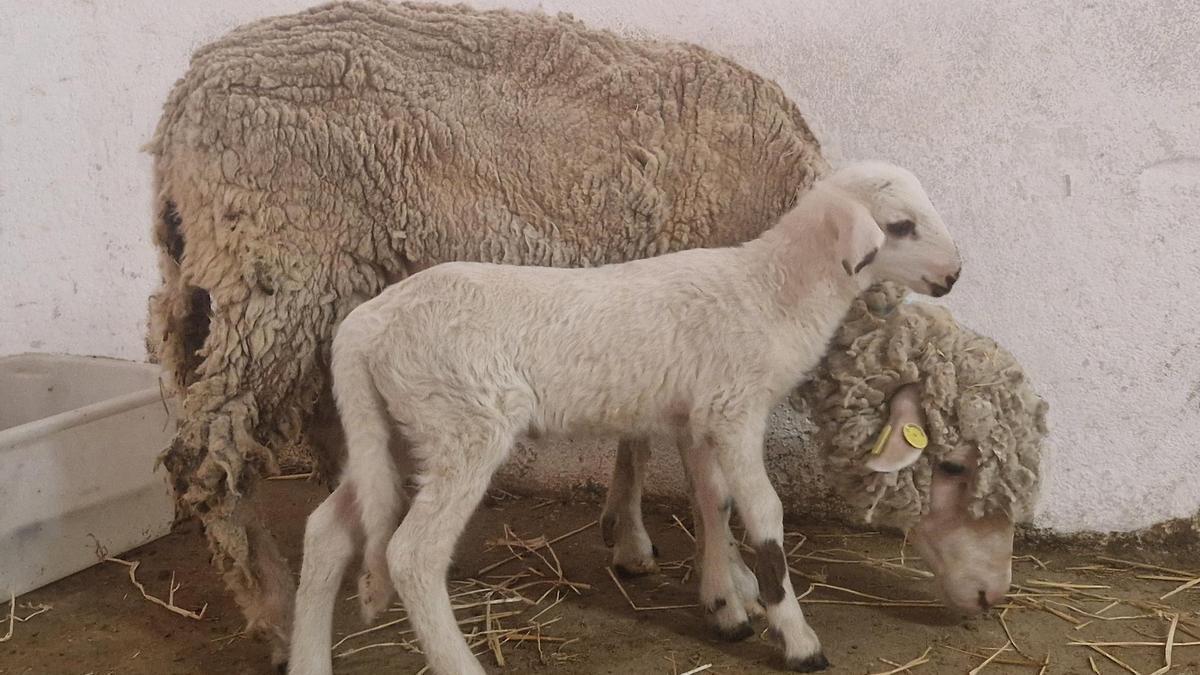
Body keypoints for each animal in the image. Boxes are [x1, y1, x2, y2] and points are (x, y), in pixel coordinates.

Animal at [145, 0, 830, 662]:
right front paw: (731, 588)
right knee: (207, 454)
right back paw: (274, 613)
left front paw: (632, 539)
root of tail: (182, 100)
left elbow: (637, 438)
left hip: (257, 292)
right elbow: (705, 477)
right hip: (280, 276)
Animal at [290, 159, 964, 667]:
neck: (772, 291)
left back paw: (308, 658)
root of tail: (365, 326)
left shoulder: (699, 417)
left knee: (326, 532)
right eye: (900, 226)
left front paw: (726, 604)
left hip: (396, 429)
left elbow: (713, 503)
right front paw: (795, 637)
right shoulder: (734, 410)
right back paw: (459, 661)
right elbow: (765, 516)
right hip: (463, 422)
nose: (954, 275)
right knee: (412, 554)